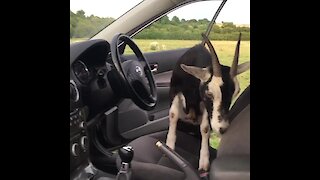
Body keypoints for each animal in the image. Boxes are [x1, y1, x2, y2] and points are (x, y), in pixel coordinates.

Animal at [165, 33, 250, 171]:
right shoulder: (175, 90)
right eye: (210, 93)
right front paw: (169, 147)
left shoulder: (204, 105)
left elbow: (205, 128)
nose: (222, 128)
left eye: (236, 92)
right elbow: (173, 115)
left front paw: (204, 162)